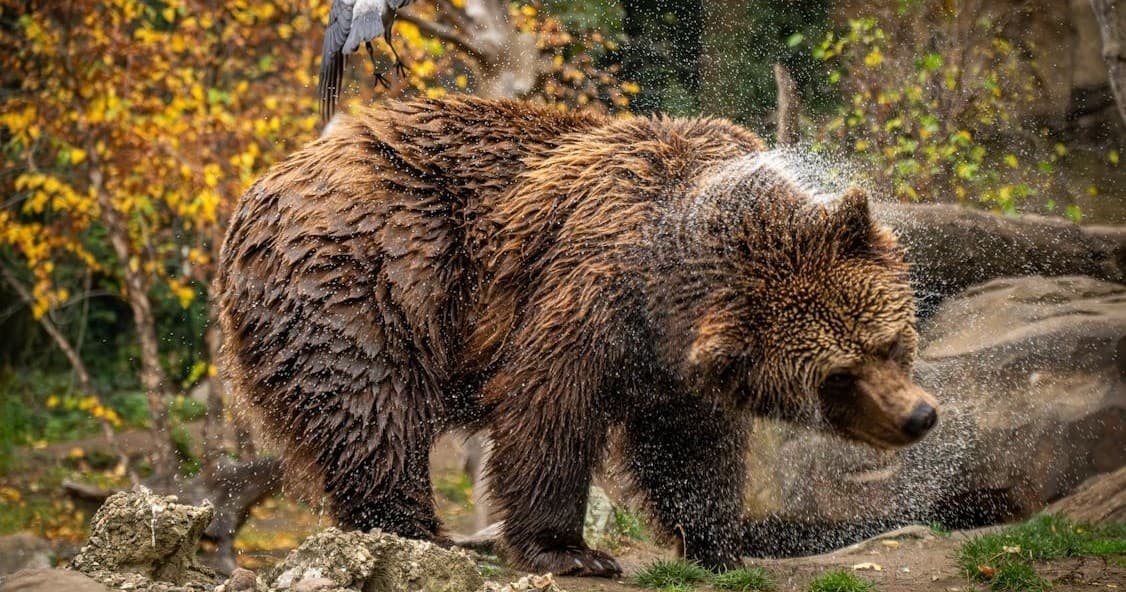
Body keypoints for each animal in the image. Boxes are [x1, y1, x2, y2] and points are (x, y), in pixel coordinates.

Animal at [216, 96, 938, 577]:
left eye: (889, 343)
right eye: (837, 375)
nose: (918, 417)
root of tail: (263, 184)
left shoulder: (677, 355)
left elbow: (687, 442)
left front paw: (718, 543)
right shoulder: (588, 287)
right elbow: (549, 405)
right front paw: (573, 551)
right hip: (367, 274)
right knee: (369, 405)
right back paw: (418, 533)